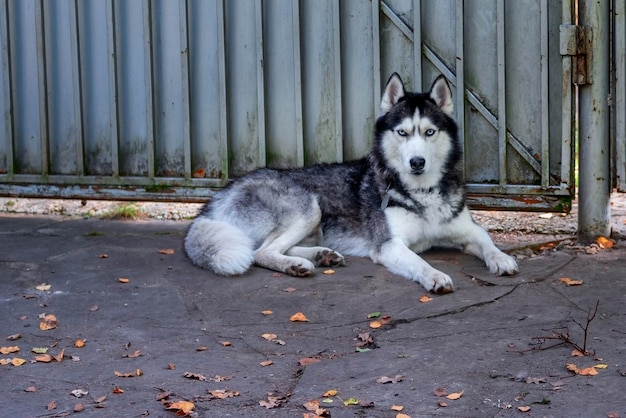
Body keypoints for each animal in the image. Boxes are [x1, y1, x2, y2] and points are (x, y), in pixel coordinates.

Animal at [184, 73, 516, 292]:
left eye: (429, 132)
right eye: (402, 132)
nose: (417, 162)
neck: (421, 192)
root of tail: (218, 197)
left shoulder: (468, 230)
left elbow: (487, 241)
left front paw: (501, 259)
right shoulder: (389, 245)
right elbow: (418, 262)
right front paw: (434, 275)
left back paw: (321, 255)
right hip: (308, 208)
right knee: (260, 252)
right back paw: (297, 265)